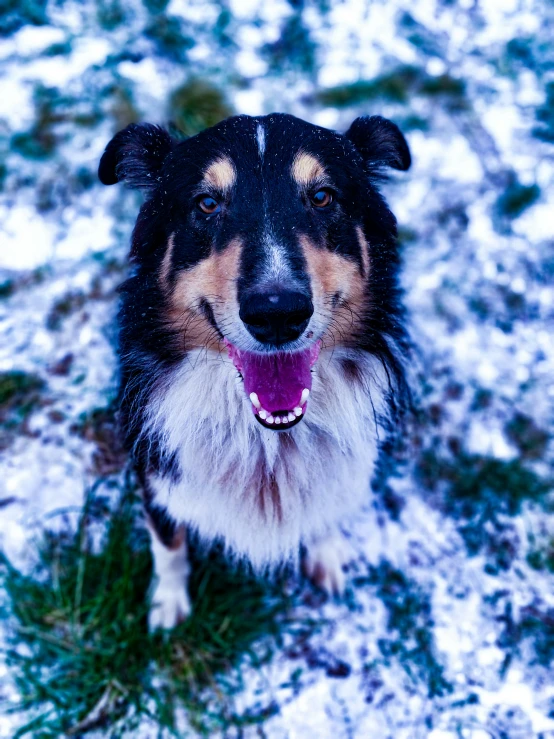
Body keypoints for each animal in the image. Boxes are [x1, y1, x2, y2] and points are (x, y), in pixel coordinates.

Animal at [98, 111, 410, 632]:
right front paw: (168, 606)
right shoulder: (156, 472)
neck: (268, 444)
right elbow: (169, 545)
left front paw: (326, 557)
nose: (277, 313)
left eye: (323, 197)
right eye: (206, 204)